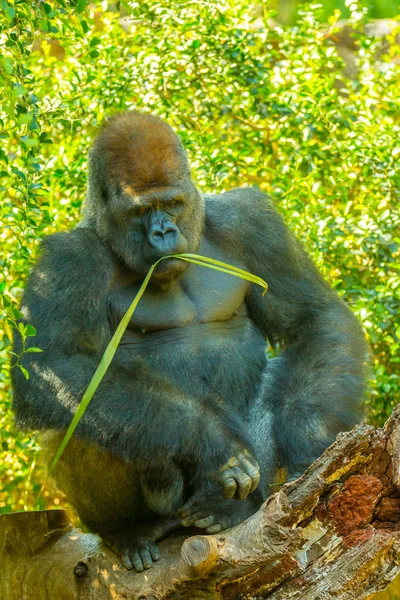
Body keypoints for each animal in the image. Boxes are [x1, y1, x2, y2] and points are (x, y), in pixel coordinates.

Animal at [12, 111, 368, 572]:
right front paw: (211, 440)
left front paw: (308, 440)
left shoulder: (250, 219)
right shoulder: (66, 259)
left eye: (173, 204)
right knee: (75, 417)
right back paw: (129, 530)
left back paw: (229, 509)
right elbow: (56, 365)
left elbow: (313, 319)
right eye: (142, 210)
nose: (163, 232)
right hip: (162, 505)